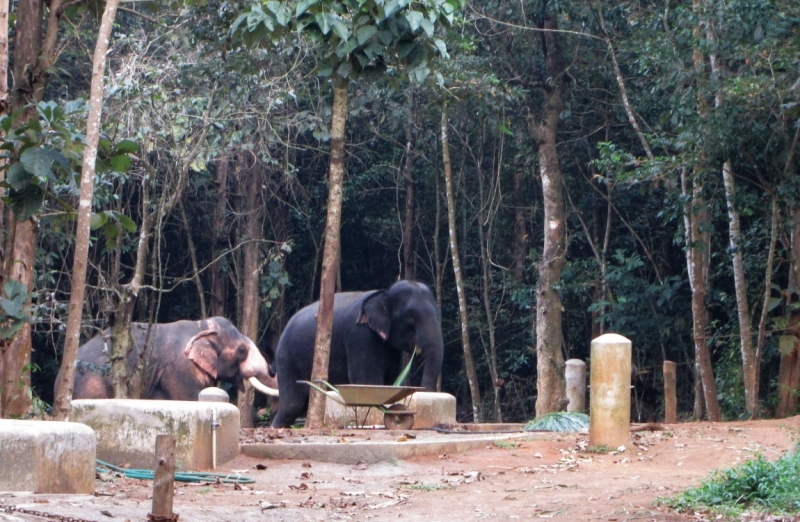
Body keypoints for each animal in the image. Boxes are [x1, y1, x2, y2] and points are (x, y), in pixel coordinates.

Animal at [268, 280, 444, 426]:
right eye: (411, 319)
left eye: (438, 314)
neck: (384, 294)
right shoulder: (360, 336)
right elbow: (368, 382)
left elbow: (388, 383)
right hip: (287, 358)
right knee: (292, 406)